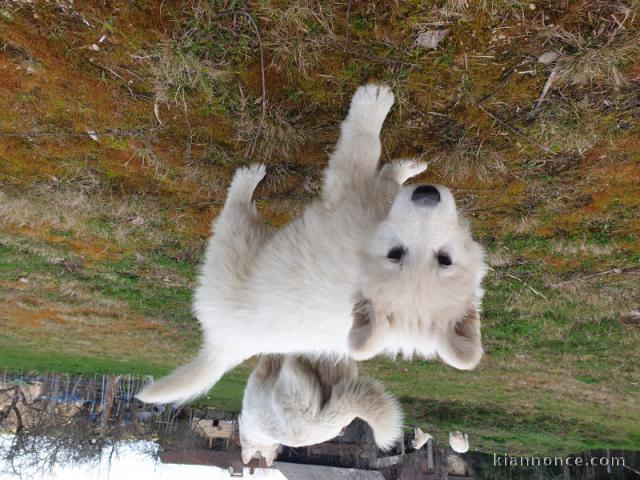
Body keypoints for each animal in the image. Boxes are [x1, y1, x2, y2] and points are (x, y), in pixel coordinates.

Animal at [138, 83, 488, 404]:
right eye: (396, 254)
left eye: (443, 258)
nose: (427, 193)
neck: (368, 244)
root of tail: (223, 345)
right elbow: (377, 163)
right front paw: (402, 162)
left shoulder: (349, 191)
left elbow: (362, 147)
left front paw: (372, 104)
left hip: (234, 245)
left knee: (233, 213)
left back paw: (245, 181)